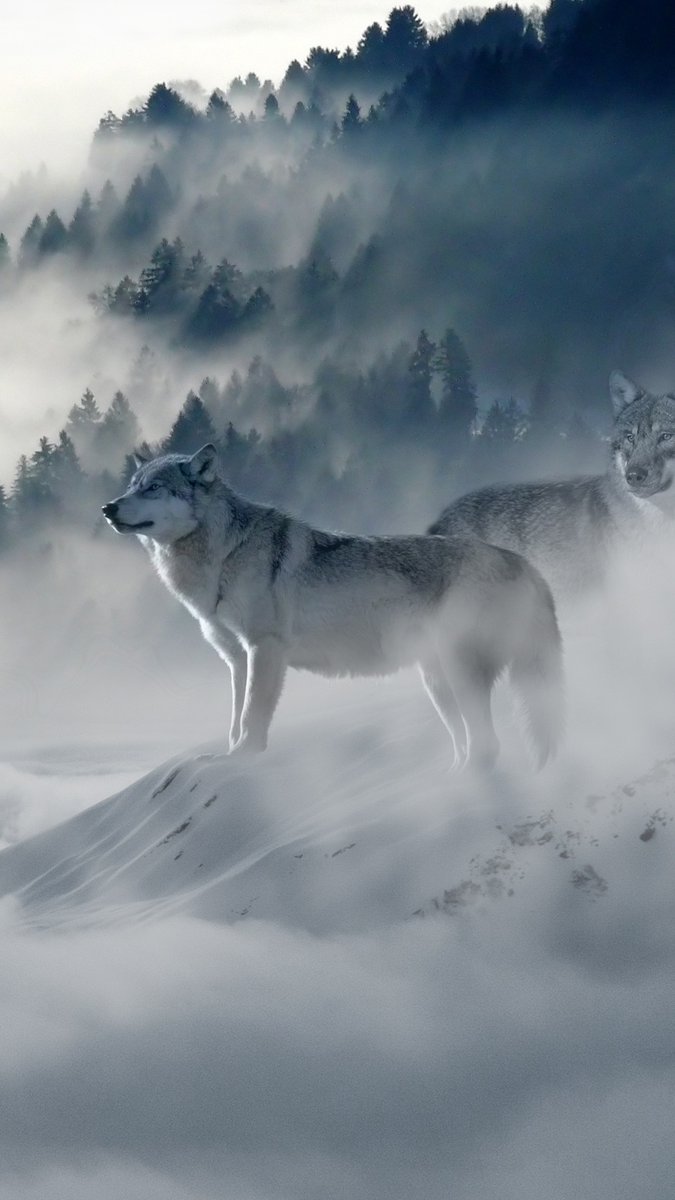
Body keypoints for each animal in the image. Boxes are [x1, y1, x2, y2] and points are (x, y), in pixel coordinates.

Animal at [102, 444, 564, 770]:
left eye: (154, 488)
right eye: (132, 485)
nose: (107, 507)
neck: (224, 554)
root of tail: (525, 564)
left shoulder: (265, 649)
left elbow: (251, 718)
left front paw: (244, 759)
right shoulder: (236, 658)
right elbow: (234, 720)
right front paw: (226, 756)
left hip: (458, 673)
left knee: (488, 746)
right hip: (437, 683)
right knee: (469, 745)